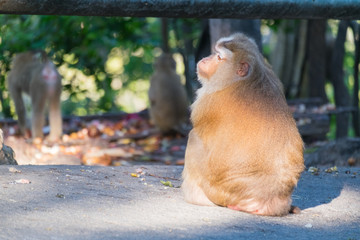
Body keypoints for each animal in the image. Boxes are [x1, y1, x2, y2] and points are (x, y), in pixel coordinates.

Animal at [183, 33, 304, 216]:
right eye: (215, 52)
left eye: (219, 57)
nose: (205, 59)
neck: (247, 78)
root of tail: (271, 201)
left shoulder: (207, 100)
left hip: (219, 191)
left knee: (194, 138)